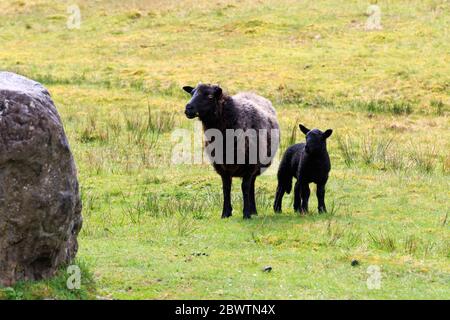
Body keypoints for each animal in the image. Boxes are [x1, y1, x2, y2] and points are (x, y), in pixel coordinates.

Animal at [182, 84, 278, 219]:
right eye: (192, 93)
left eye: (210, 96)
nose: (188, 108)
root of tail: (251, 93)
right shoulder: (222, 166)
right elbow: (226, 188)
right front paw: (225, 213)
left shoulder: (250, 165)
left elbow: (245, 187)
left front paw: (246, 214)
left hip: (257, 165)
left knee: (251, 185)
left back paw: (253, 210)